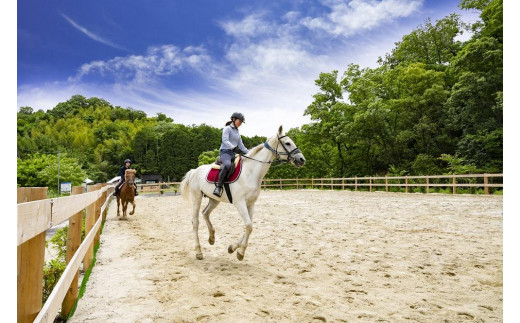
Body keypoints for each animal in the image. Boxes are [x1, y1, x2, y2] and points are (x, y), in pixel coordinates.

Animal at [182, 126, 304, 260]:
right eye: (287, 143)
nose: (302, 159)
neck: (251, 172)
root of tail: (194, 171)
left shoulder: (250, 204)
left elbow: (249, 226)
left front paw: (233, 248)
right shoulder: (240, 203)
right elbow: (249, 226)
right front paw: (240, 252)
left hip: (214, 200)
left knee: (205, 213)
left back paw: (211, 238)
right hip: (197, 198)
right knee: (195, 222)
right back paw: (199, 252)